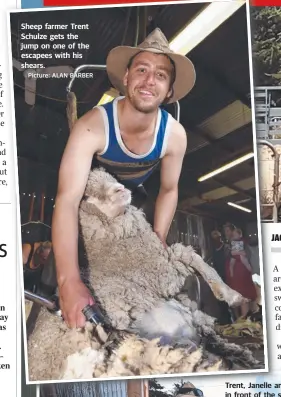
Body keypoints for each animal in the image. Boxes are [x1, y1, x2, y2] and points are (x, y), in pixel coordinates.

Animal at [25, 167, 262, 380]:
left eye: (110, 177)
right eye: (88, 195)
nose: (121, 189)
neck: (106, 247)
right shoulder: (161, 269)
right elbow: (194, 258)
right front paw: (231, 295)